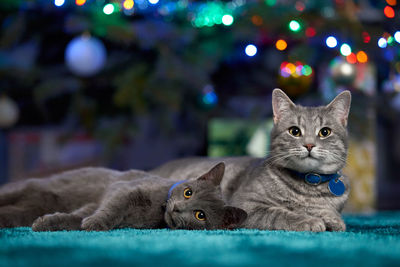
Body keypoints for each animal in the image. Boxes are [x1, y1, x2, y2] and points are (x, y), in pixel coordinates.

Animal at [0, 163, 247, 232]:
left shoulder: (90, 205)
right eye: (188, 193)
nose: (176, 209)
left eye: (200, 215)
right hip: (24, 188)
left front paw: (46, 223)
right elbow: (112, 208)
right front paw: (96, 223)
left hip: (24, 210)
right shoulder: (123, 190)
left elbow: (74, 218)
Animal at [152, 89, 352, 232]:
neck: (309, 186)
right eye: (294, 131)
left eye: (325, 132)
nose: (309, 145)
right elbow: (279, 213)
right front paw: (310, 220)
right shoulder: (247, 204)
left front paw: (332, 219)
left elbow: (329, 212)